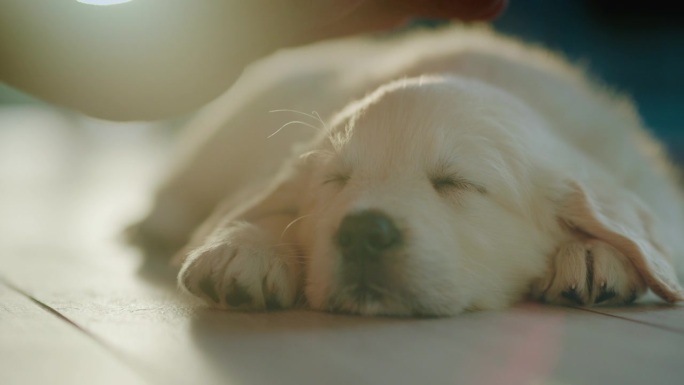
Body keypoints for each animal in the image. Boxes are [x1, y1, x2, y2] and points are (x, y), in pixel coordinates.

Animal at [134, 26, 684, 316]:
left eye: (456, 184)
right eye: (336, 181)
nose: (362, 232)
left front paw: (593, 253)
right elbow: (263, 201)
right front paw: (244, 248)